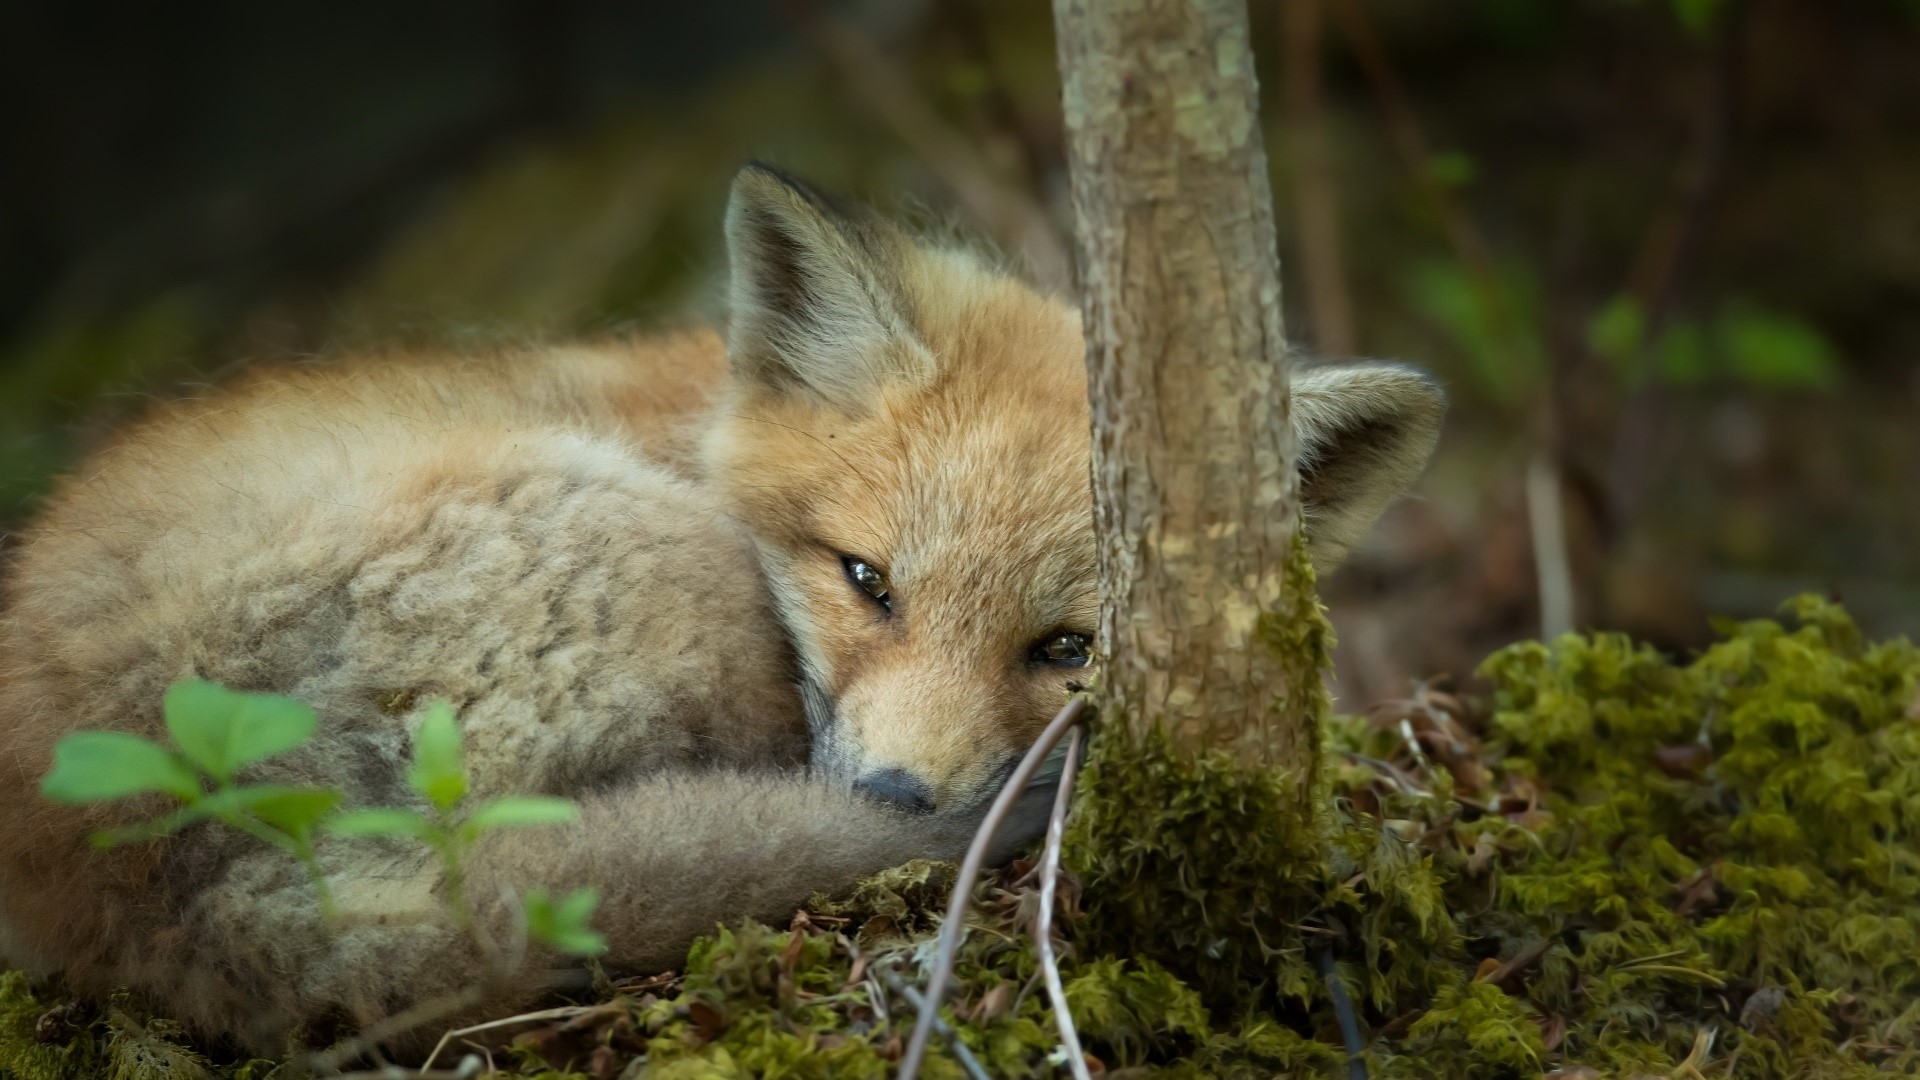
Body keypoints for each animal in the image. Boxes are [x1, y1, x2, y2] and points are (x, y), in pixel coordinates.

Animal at [0, 163, 1444, 1052]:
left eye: (1066, 649)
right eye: (867, 581)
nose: (893, 800)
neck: (691, 419)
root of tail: (136, 869)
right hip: (679, 599)